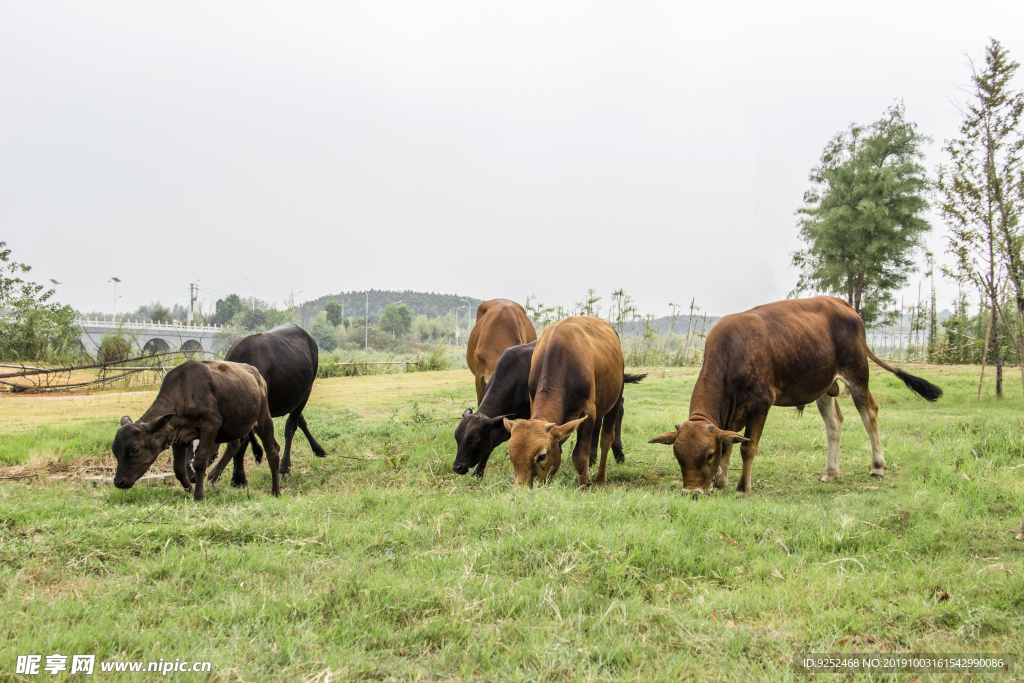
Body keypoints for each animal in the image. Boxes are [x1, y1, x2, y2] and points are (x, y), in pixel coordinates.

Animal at [112, 358, 282, 501]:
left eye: (135, 450)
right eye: (115, 451)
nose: (118, 481)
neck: (183, 394)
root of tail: (256, 374)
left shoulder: (210, 425)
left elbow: (200, 461)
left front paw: (198, 495)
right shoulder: (178, 436)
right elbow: (178, 468)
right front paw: (188, 487)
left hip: (263, 419)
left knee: (272, 452)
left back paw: (276, 491)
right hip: (233, 425)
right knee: (235, 444)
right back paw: (213, 475)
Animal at [199, 321, 323, 485]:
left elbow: (244, 441)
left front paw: (238, 477)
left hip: (306, 392)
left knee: (290, 426)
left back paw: (284, 467)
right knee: (300, 420)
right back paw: (318, 450)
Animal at [501, 317, 634, 489]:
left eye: (542, 456)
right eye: (511, 455)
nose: (523, 489)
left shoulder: (588, 412)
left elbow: (580, 456)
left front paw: (583, 487)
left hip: (616, 398)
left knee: (606, 438)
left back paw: (599, 480)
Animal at [651, 299, 937, 497]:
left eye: (708, 455)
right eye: (678, 456)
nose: (691, 492)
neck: (732, 355)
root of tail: (842, 303)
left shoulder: (761, 404)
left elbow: (747, 447)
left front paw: (743, 487)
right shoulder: (730, 414)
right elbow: (729, 444)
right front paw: (720, 483)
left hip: (857, 373)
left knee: (870, 413)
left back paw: (878, 466)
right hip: (824, 386)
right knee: (834, 424)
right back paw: (831, 472)